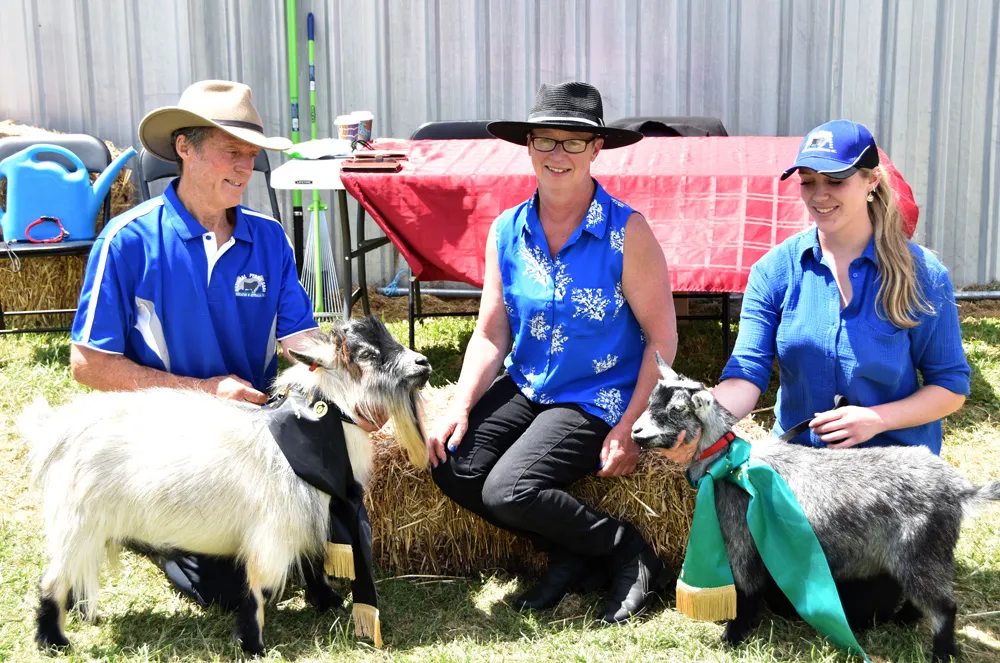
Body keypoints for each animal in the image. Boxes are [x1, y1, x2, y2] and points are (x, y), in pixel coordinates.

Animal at [632, 356, 1000, 660]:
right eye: (651, 402)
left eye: (677, 410)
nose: (635, 432)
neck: (731, 465)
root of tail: (959, 490)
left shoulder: (741, 540)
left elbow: (746, 591)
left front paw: (733, 636)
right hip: (914, 557)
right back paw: (904, 620)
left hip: (921, 550)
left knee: (944, 606)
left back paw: (942, 652)